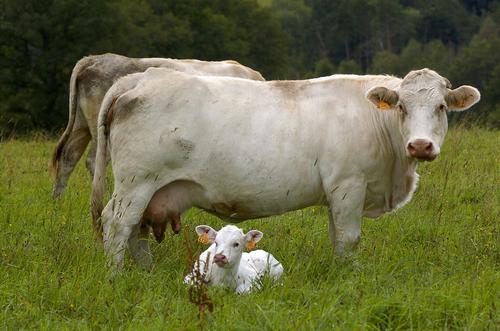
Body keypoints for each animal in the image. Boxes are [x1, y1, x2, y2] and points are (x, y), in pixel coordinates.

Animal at [49, 52, 266, 198]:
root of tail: (92, 59)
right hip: (100, 129)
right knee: (94, 160)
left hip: (81, 124)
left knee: (69, 155)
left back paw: (57, 199)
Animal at [91, 67, 480, 270]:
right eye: (401, 107)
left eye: (442, 107)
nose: (420, 145)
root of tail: (141, 76)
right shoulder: (349, 184)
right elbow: (350, 238)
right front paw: (351, 276)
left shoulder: (337, 192)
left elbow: (338, 238)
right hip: (135, 182)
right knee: (118, 224)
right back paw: (116, 275)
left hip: (152, 189)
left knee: (136, 231)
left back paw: (146, 272)